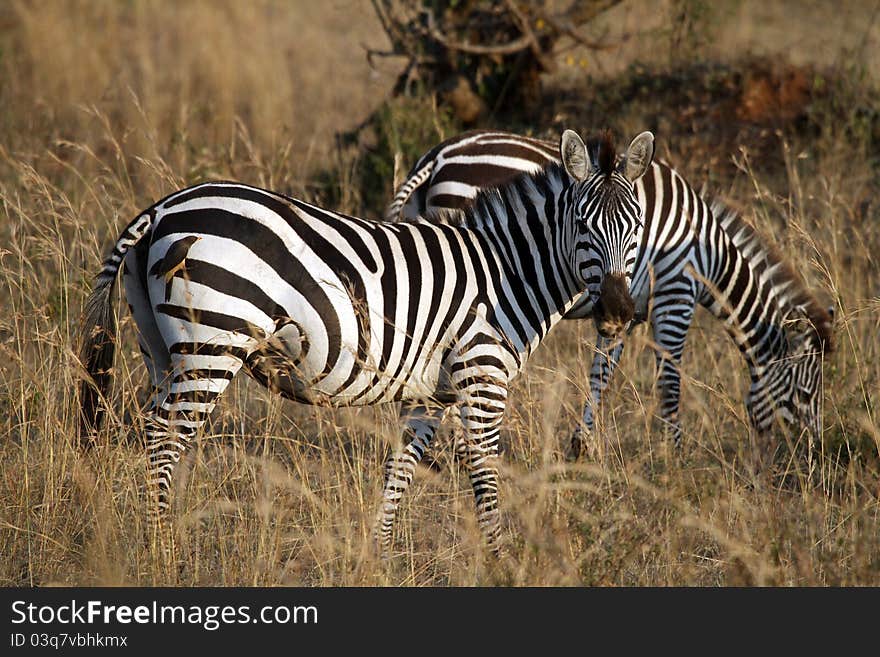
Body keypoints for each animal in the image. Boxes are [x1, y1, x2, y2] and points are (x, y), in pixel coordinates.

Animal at [81, 127, 652, 552]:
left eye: (637, 227)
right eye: (582, 225)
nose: (619, 311)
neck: (505, 271)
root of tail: (160, 208)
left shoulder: (430, 393)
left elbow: (401, 468)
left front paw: (379, 557)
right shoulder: (482, 379)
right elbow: (485, 473)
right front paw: (500, 560)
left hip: (161, 348)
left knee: (152, 428)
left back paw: (157, 540)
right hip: (212, 344)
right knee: (164, 437)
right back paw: (162, 552)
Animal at [388, 129, 836, 456]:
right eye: (805, 393)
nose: (814, 455)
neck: (706, 250)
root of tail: (437, 157)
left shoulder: (628, 312)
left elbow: (602, 374)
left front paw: (580, 446)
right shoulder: (676, 293)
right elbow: (669, 381)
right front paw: (675, 457)